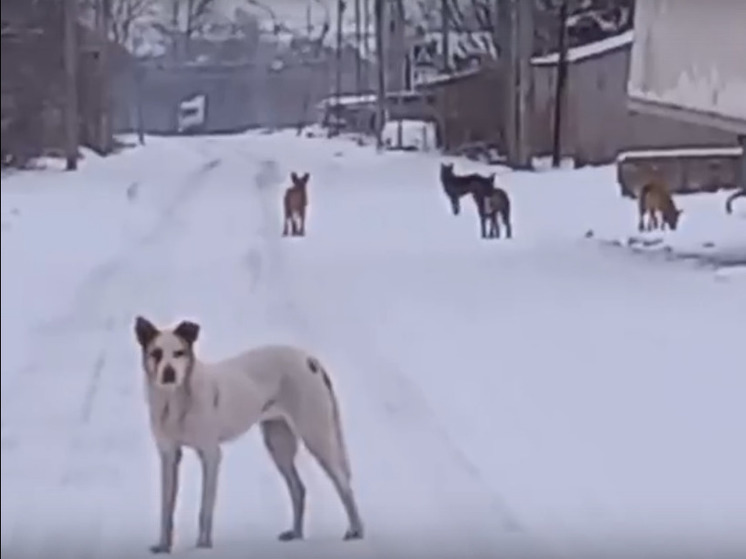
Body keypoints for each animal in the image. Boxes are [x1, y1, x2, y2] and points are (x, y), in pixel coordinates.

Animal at [136, 318, 366, 552]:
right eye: (156, 353)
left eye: (179, 353)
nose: (169, 373)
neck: (174, 402)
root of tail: (310, 360)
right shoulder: (169, 455)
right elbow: (166, 507)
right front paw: (163, 546)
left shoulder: (211, 454)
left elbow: (205, 507)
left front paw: (203, 545)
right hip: (278, 443)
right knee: (298, 488)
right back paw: (296, 534)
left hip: (316, 435)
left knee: (343, 483)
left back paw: (356, 531)